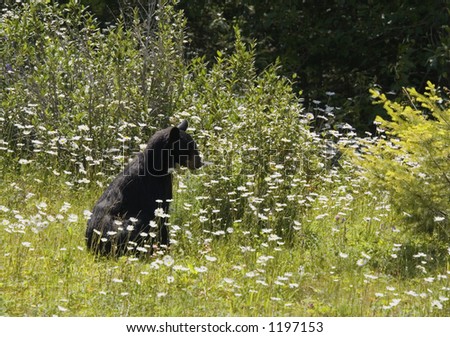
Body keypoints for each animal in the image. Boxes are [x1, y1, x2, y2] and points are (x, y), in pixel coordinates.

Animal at [85, 119, 204, 256]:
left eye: (194, 146)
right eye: (188, 148)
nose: (200, 162)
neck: (158, 167)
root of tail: (92, 244)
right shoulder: (155, 190)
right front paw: (166, 247)